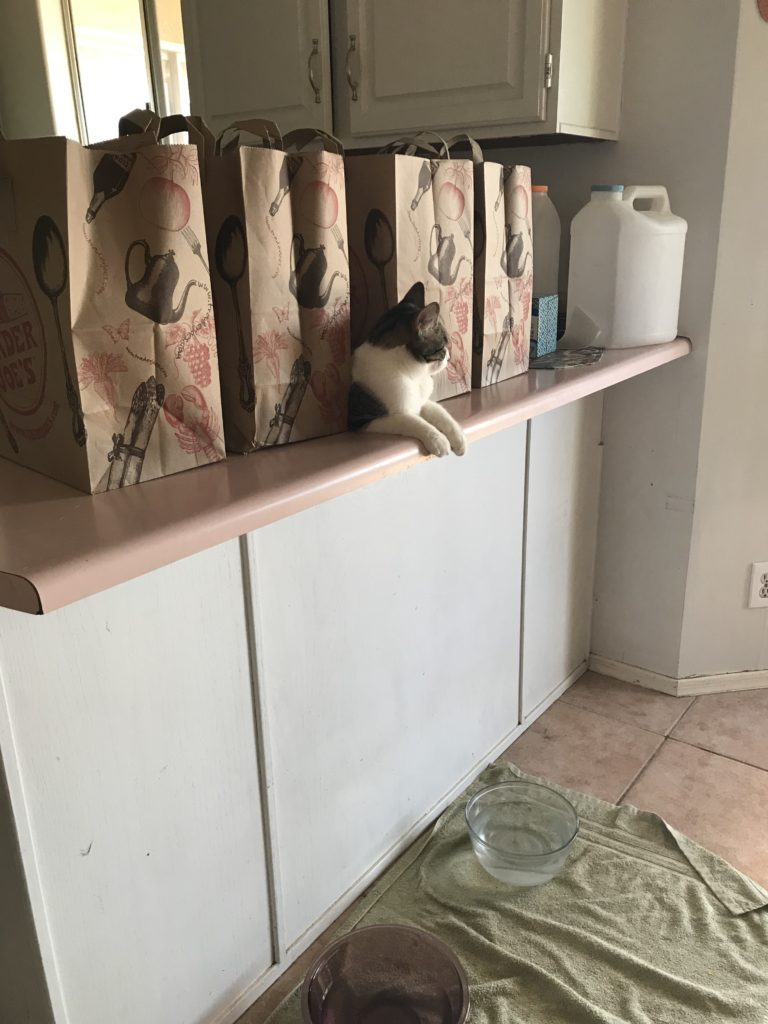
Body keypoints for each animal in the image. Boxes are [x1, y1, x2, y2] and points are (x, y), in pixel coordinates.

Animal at [350, 280, 468, 456]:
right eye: (443, 346)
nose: (449, 357)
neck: (413, 375)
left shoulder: (421, 402)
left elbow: (441, 413)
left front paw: (459, 438)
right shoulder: (367, 420)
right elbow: (412, 421)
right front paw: (439, 440)